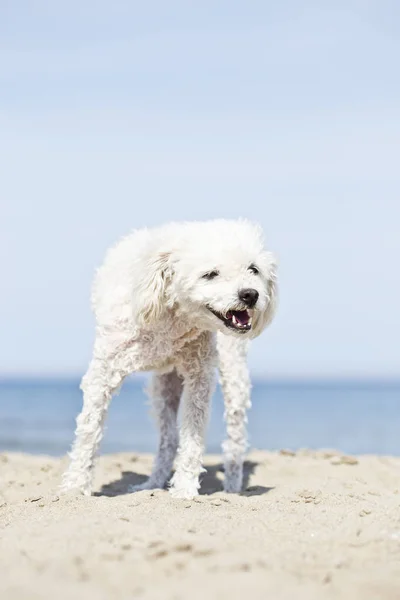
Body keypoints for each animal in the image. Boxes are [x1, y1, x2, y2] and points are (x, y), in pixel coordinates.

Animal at [60, 218, 278, 500]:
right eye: (211, 274)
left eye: (253, 269)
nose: (250, 294)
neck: (171, 319)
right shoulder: (103, 372)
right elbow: (89, 430)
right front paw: (76, 486)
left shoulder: (199, 378)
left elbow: (193, 438)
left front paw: (184, 488)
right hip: (162, 388)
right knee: (168, 438)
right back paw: (152, 483)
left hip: (233, 374)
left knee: (235, 436)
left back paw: (231, 486)